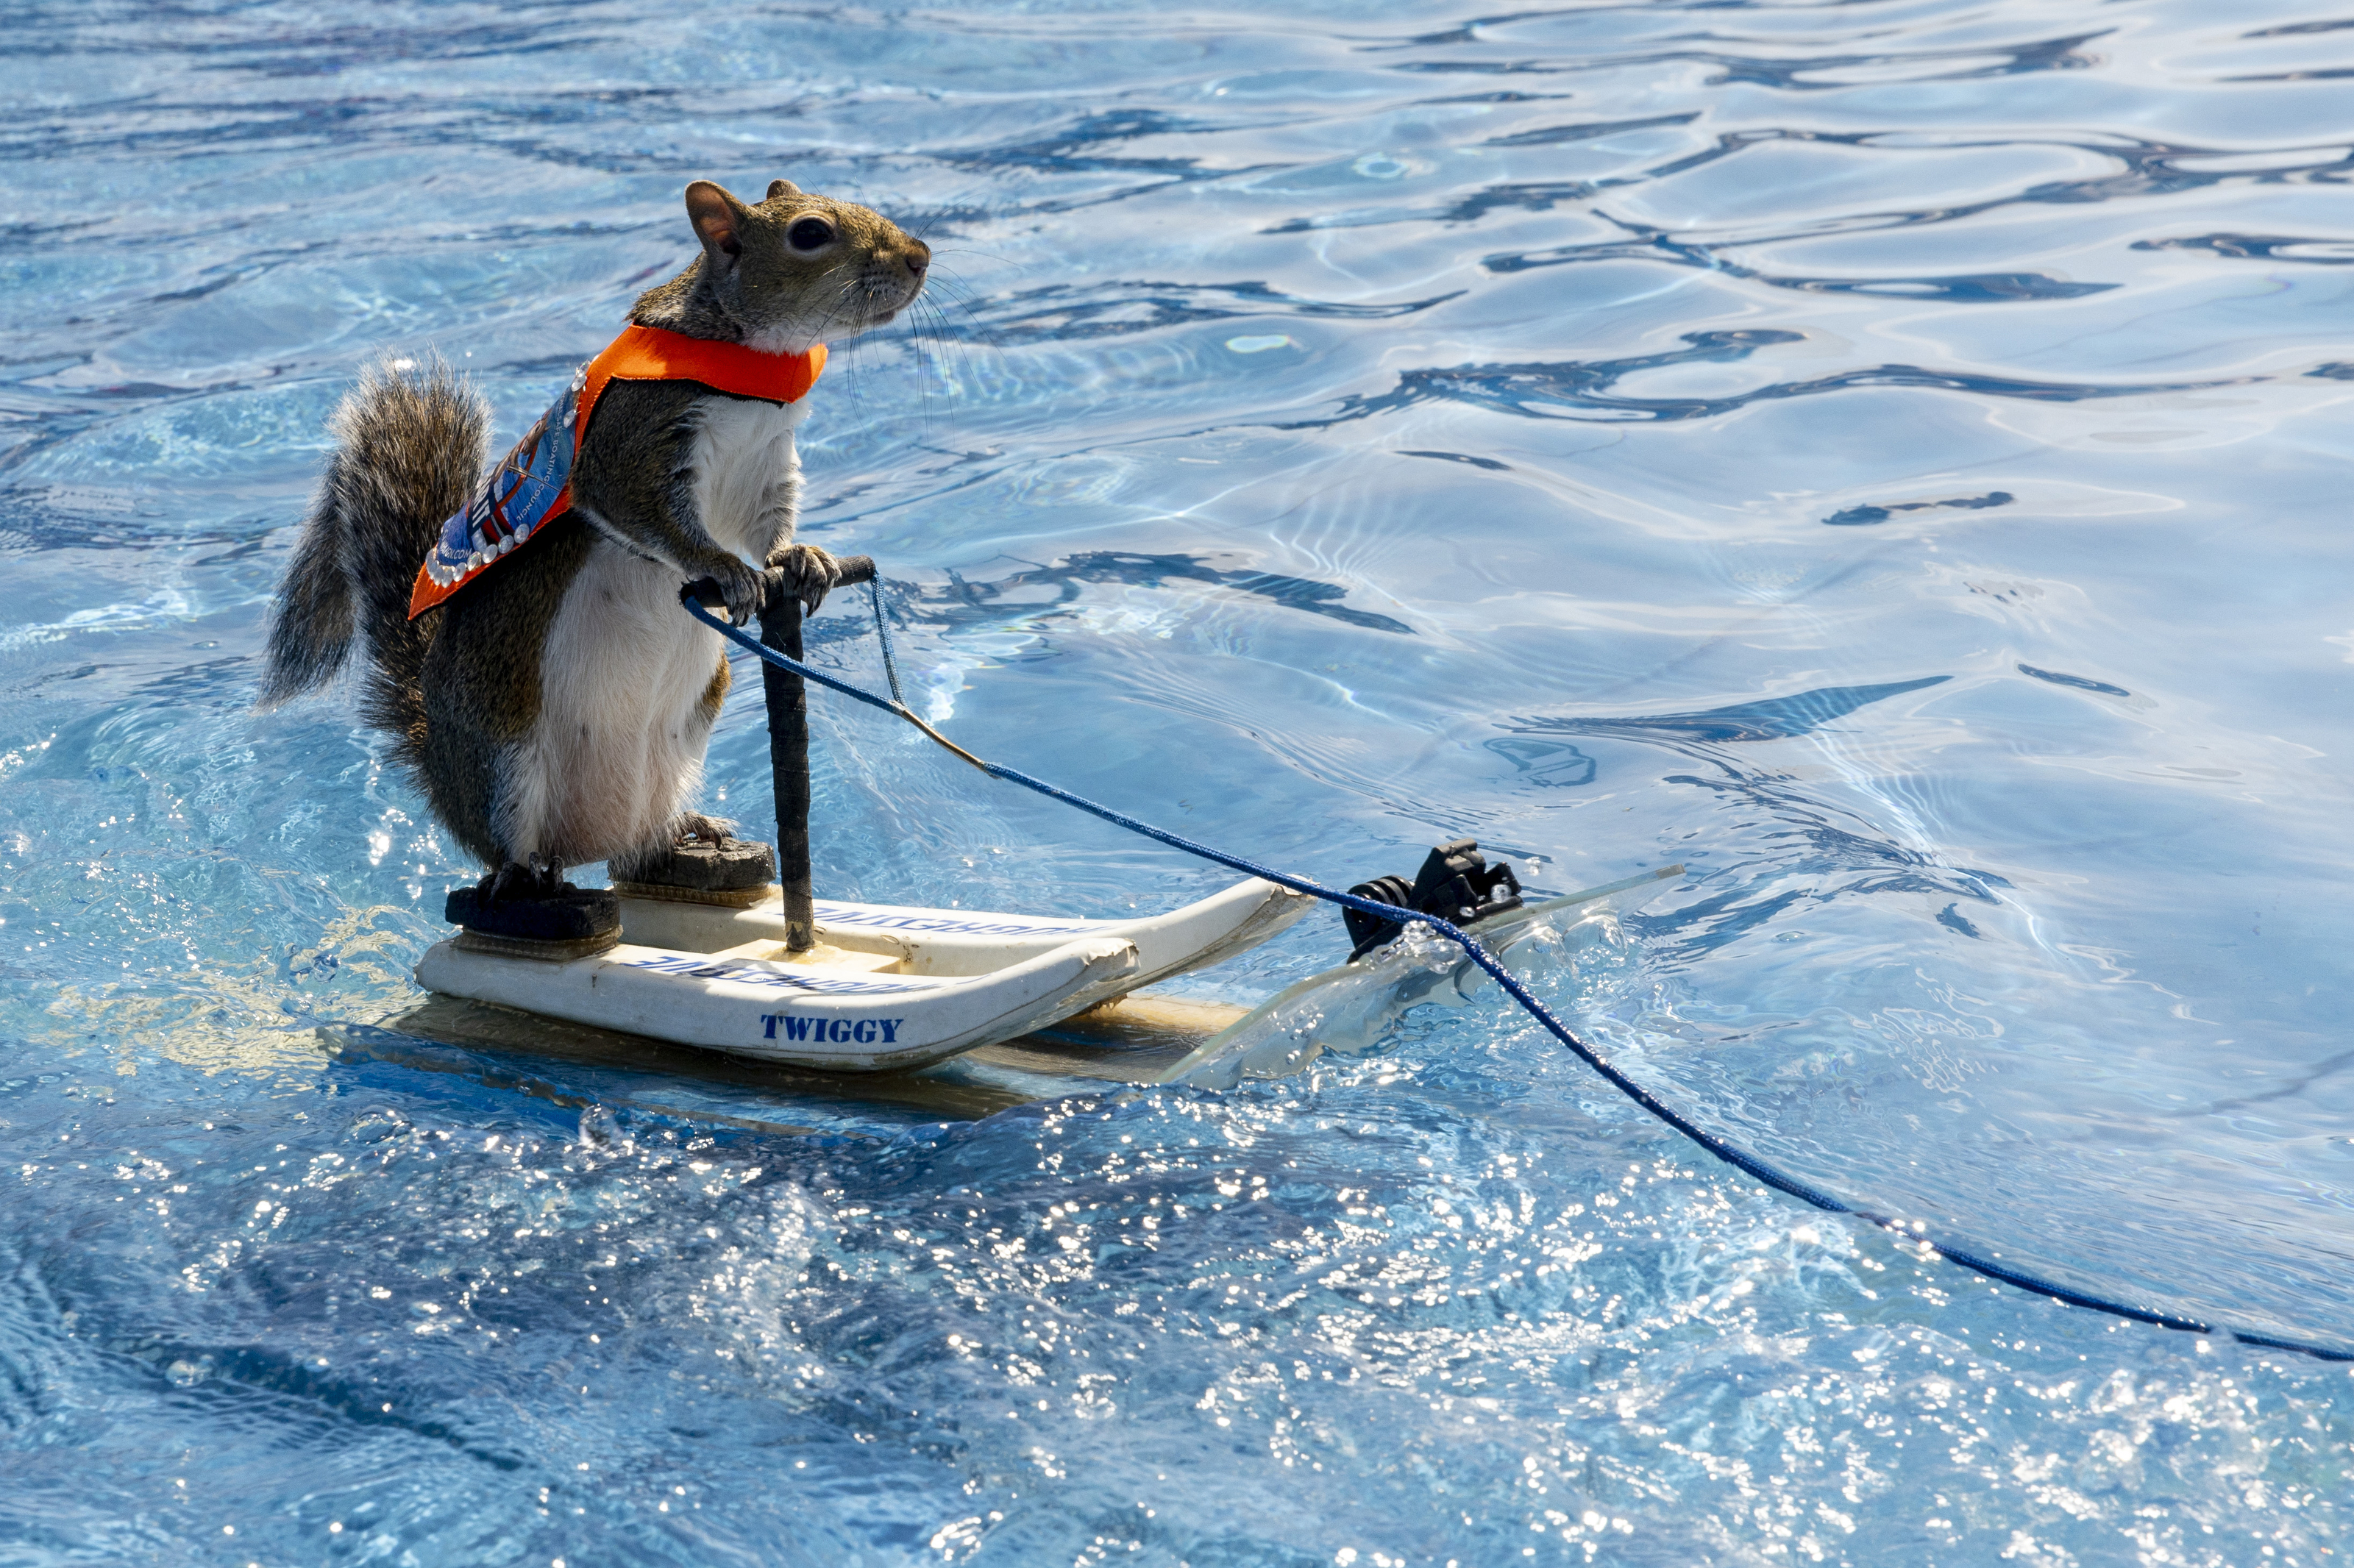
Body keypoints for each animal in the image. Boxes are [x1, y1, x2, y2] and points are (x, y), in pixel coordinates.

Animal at [258, 178, 929, 902]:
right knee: (502, 850)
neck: (751, 369)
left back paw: (689, 832)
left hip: (683, 734)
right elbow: (647, 515)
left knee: (641, 838)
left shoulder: (766, 465)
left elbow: (769, 524)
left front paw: (801, 559)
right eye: (809, 233)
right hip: (503, 746)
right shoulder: (630, 442)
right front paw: (726, 569)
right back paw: (520, 879)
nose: (920, 258)